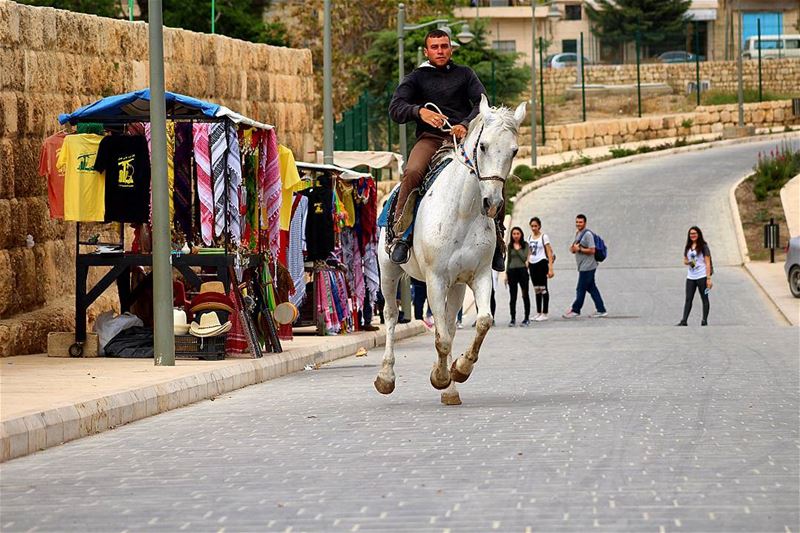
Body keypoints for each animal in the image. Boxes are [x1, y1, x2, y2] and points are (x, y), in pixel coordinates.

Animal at [374, 94, 524, 404]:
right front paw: (441, 376)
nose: (493, 203)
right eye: (483, 146)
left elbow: (481, 322)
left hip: (457, 284)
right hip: (389, 271)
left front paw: (459, 370)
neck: (463, 211)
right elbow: (441, 337)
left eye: (514, 151)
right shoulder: (435, 280)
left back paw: (452, 390)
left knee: (452, 324)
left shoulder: (479, 275)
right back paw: (386, 376)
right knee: (392, 316)